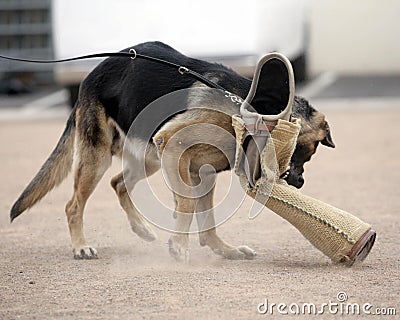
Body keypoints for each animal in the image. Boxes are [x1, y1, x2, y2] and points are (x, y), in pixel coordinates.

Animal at [10, 41, 334, 258]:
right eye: (306, 151)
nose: (299, 182)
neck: (245, 109)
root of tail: (90, 76)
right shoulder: (175, 149)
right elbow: (188, 206)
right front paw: (179, 246)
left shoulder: (200, 171)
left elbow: (205, 218)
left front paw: (222, 250)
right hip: (99, 158)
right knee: (74, 204)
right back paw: (81, 246)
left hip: (150, 157)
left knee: (119, 183)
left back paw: (142, 230)